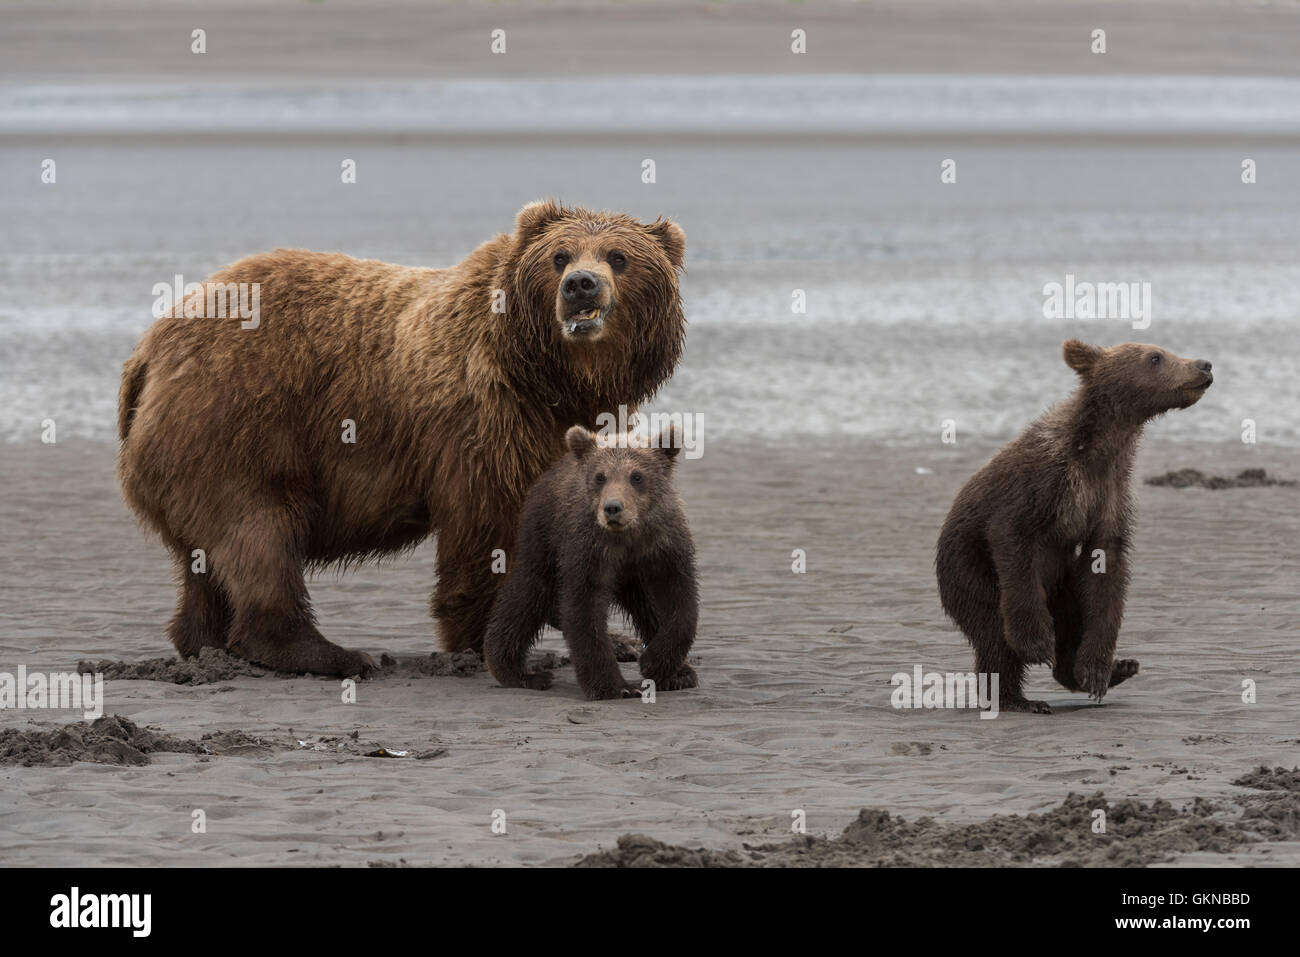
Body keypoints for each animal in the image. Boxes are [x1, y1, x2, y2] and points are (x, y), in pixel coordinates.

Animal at [116, 201, 686, 676]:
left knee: (205, 558)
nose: (581, 284)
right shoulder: (480, 420)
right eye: (560, 255)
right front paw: (483, 640)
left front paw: (616, 639)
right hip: (238, 420)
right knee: (258, 533)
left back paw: (205, 643)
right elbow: (487, 525)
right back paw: (329, 654)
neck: (549, 378)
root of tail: (149, 348)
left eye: (618, 257)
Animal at [484, 424, 698, 700]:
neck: (628, 537)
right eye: (600, 476)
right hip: (543, 539)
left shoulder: (664, 545)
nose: (613, 507)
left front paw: (656, 663)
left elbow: (680, 603)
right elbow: (584, 610)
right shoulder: (588, 551)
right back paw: (521, 672)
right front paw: (614, 686)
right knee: (525, 596)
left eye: (636, 476)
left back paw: (681, 673)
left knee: (647, 605)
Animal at [936, 339, 1214, 714]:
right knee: (993, 631)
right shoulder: (1041, 483)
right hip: (968, 569)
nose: (1203, 365)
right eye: (1155, 357)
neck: (1098, 449)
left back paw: (1114, 669)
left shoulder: (1110, 494)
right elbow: (1012, 536)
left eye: (1165, 351)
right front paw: (1037, 644)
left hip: (1060, 578)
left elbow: (1105, 573)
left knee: (1070, 614)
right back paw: (1017, 699)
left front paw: (1096, 670)